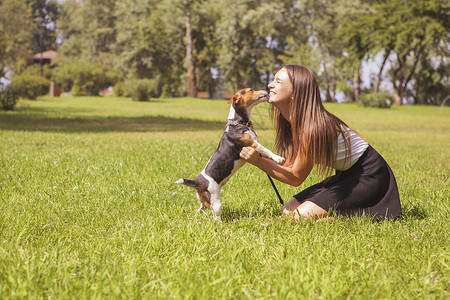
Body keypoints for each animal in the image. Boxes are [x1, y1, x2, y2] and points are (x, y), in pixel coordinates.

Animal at [176, 88, 284, 221]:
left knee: (200, 210)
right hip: (216, 203)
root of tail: (197, 182)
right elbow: (266, 150)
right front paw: (279, 158)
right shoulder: (253, 144)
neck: (238, 122)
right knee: (216, 219)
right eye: (251, 90)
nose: (266, 89)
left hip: (205, 201)